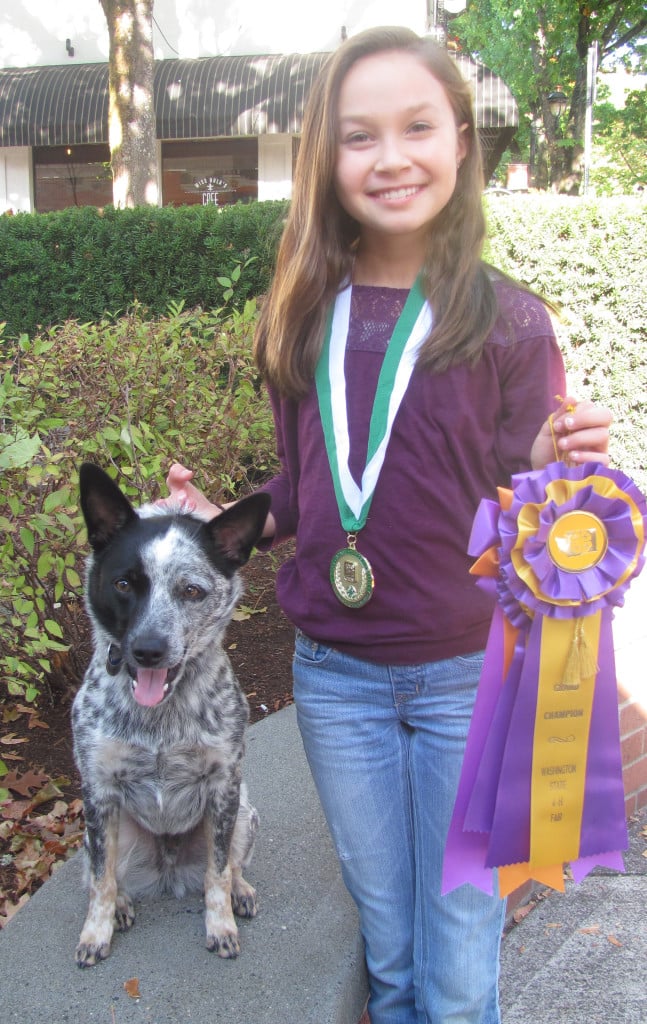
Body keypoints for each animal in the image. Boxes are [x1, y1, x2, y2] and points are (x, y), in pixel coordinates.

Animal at [72, 464, 268, 966]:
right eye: (123, 584)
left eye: (191, 590)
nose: (147, 650)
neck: (160, 720)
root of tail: (169, 868)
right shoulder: (98, 789)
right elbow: (100, 880)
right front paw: (96, 932)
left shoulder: (223, 785)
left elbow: (217, 873)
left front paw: (221, 925)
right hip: (102, 830)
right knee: (105, 874)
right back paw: (122, 904)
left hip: (245, 813)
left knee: (230, 864)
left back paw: (241, 891)